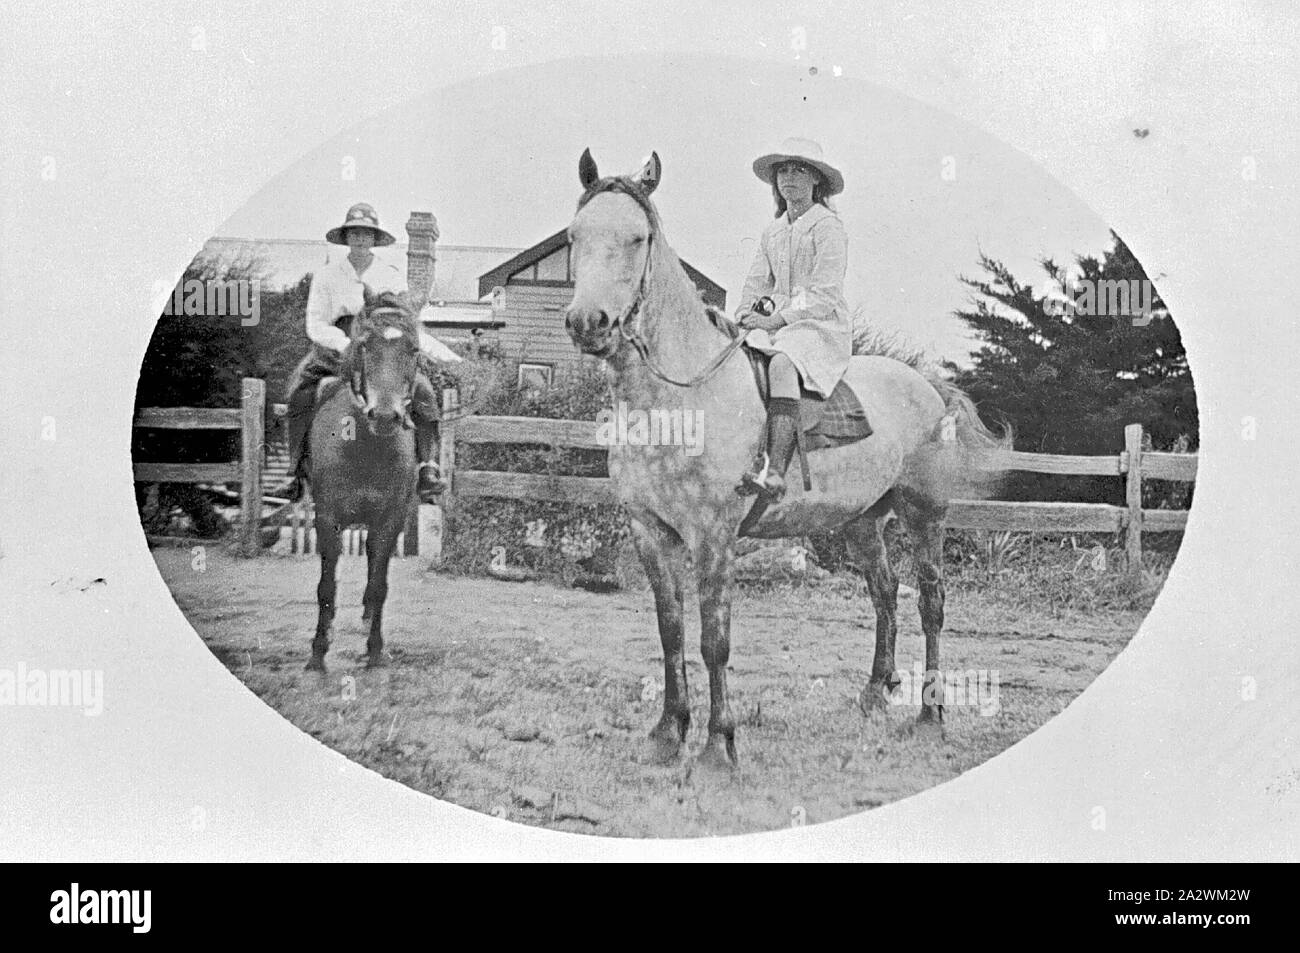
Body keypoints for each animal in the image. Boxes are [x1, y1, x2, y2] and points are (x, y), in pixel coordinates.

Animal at [300, 289, 418, 670]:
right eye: (364, 345)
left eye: (413, 349)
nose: (384, 416)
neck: (366, 445)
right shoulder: (327, 519)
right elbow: (325, 586)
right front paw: (318, 651)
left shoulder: (390, 521)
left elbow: (379, 585)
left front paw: (376, 650)